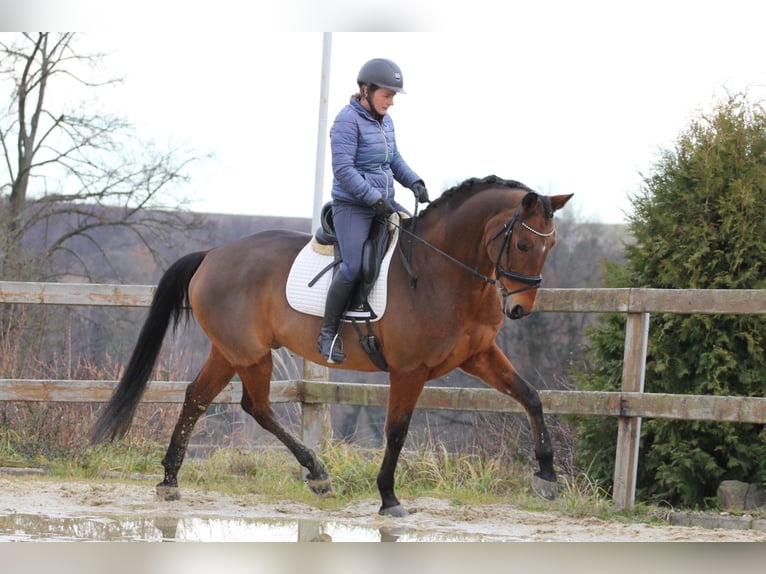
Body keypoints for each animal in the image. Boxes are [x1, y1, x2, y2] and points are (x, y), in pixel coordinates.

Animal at [90, 174, 572, 516]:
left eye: (550, 246)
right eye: (523, 242)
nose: (519, 309)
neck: (443, 271)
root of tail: (212, 254)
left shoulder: (477, 356)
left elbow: (531, 396)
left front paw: (548, 475)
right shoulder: (409, 370)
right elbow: (396, 431)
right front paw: (389, 497)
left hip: (228, 351)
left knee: (197, 398)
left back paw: (170, 480)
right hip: (250, 354)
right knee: (255, 406)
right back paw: (317, 473)